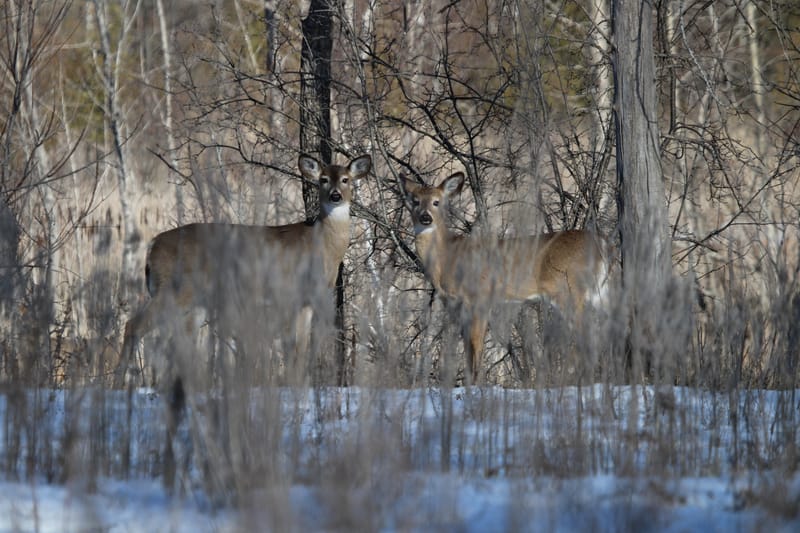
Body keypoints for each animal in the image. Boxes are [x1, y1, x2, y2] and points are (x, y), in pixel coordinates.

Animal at [399, 171, 609, 385]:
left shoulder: (480, 297)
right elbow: (467, 349)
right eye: (415, 201)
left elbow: (476, 345)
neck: (448, 257)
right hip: (601, 291)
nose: (425, 218)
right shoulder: (456, 306)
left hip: (569, 291)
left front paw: (475, 384)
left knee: (587, 335)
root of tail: (601, 243)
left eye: (436, 202)